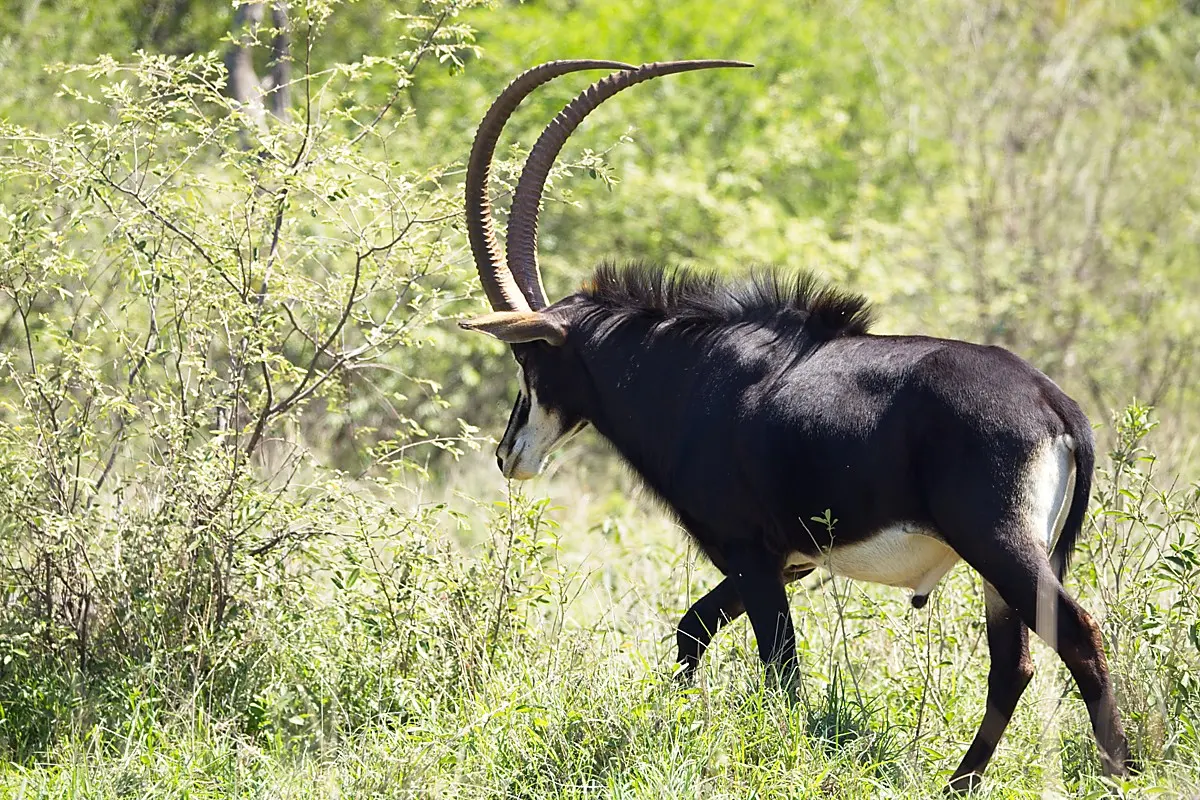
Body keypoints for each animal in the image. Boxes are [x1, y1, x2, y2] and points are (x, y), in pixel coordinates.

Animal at [453, 59, 1128, 791]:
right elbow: (693, 628)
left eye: (529, 355)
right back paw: (961, 783)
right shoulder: (786, 560)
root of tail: (1053, 402)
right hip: (996, 563)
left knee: (1078, 638)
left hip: (1000, 544)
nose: (508, 454)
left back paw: (1120, 773)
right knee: (1015, 664)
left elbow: (781, 670)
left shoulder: (749, 551)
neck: (690, 371)